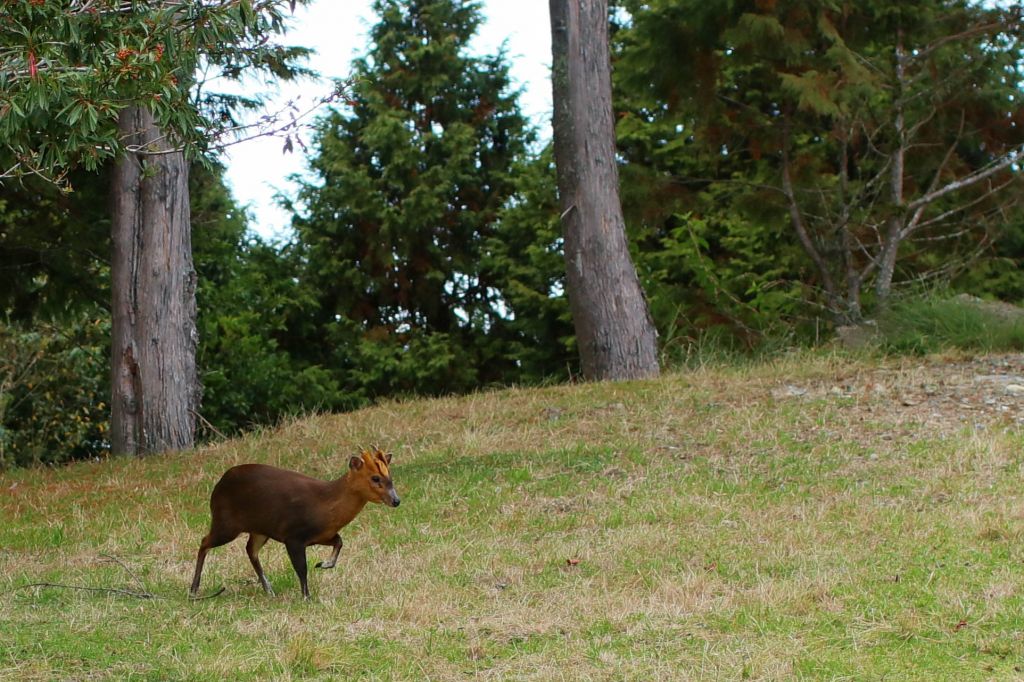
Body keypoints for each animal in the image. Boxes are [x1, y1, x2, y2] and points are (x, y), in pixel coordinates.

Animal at [188, 446, 399, 593]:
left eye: (390, 477)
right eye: (375, 478)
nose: (396, 500)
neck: (325, 504)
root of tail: (219, 484)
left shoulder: (321, 535)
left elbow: (339, 541)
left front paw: (324, 564)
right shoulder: (293, 536)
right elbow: (301, 569)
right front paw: (307, 596)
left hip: (259, 528)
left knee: (250, 550)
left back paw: (268, 589)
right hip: (226, 521)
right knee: (204, 542)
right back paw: (193, 589)